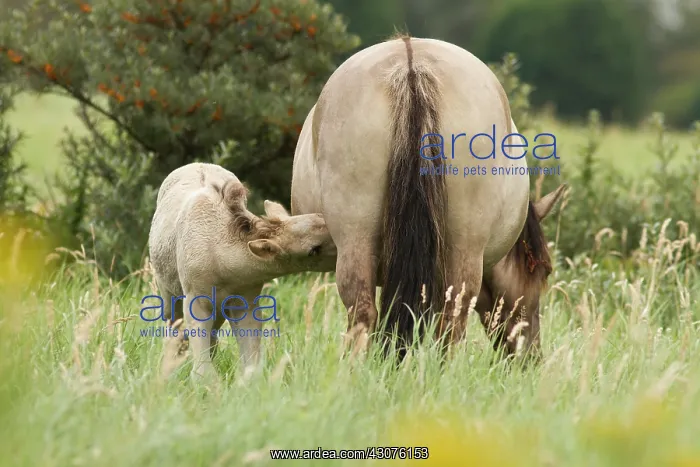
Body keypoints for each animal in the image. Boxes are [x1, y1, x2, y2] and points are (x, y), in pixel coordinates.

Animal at [290, 35, 566, 361]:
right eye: (545, 272)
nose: (531, 357)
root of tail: (411, 65)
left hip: (356, 237)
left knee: (366, 313)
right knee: (449, 321)